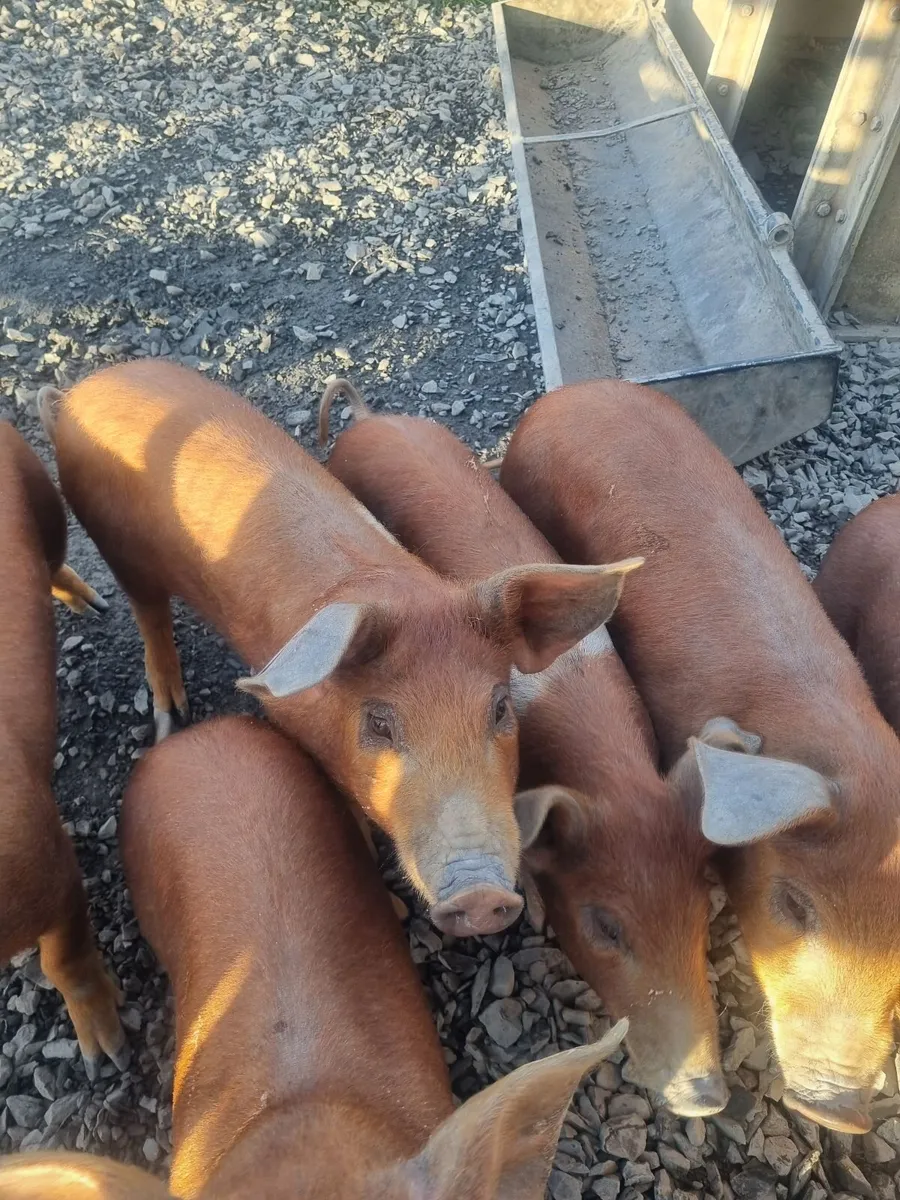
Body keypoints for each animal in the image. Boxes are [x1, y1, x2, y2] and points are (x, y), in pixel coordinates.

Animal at [39, 360, 636, 936]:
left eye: (500, 708)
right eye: (379, 723)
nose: (482, 895)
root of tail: (81, 389)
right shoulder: (293, 723)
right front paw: (392, 913)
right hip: (112, 542)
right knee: (147, 612)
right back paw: (169, 716)